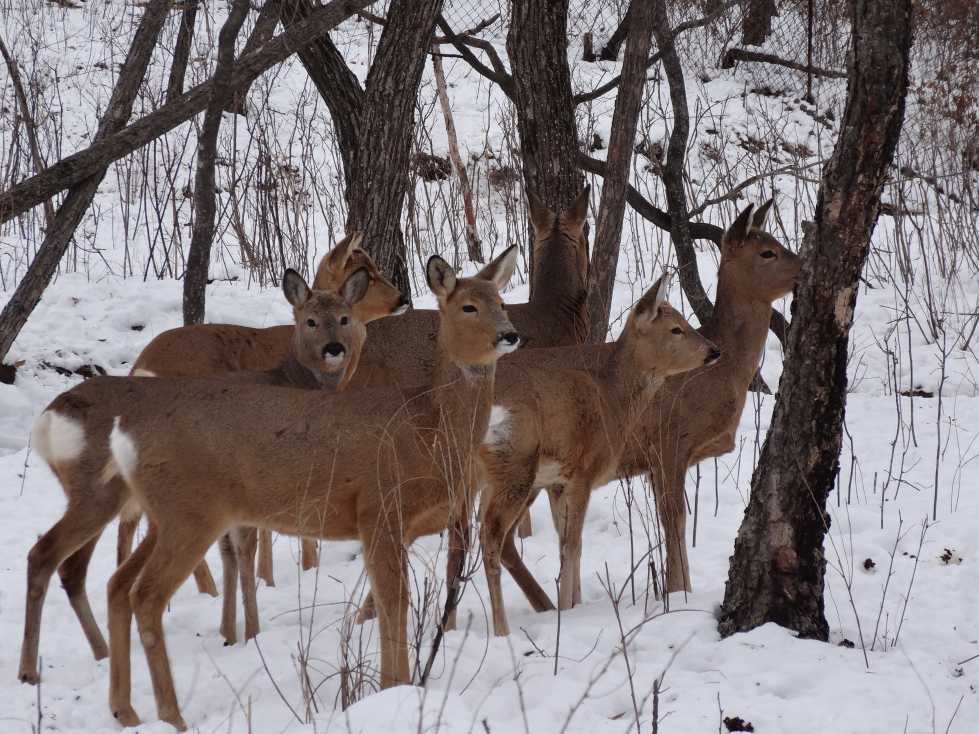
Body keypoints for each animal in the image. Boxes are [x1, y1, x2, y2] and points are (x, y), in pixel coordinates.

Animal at [16, 254, 398, 688]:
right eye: (311, 320)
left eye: (344, 318)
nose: (334, 349)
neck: (291, 380)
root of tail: (50, 418)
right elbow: (247, 550)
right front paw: (250, 630)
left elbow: (232, 552)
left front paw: (229, 632)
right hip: (101, 491)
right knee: (47, 555)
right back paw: (31, 669)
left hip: (99, 494)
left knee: (74, 566)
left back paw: (99, 652)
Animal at [87, 246, 520, 732]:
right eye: (468, 306)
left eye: (501, 301)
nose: (510, 335)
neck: (429, 427)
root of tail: (127, 439)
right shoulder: (379, 508)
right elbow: (395, 601)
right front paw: (396, 689)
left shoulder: (397, 525)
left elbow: (386, 601)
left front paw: (394, 686)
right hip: (190, 515)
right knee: (145, 595)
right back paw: (171, 716)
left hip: (169, 516)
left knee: (119, 583)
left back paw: (125, 708)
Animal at [480, 276, 720, 640]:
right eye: (676, 329)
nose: (713, 351)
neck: (613, 400)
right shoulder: (582, 470)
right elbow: (573, 545)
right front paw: (568, 608)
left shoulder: (558, 481)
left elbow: (567, 544)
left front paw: (572, 602)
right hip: (514, 466)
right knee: (490, 537)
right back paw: (501, 629)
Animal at [510, 200, 800, 600]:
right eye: (767, 252)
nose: (804, 266)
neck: (721, 374)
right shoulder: (668, 442)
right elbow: (674, 519)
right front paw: (678, 592)